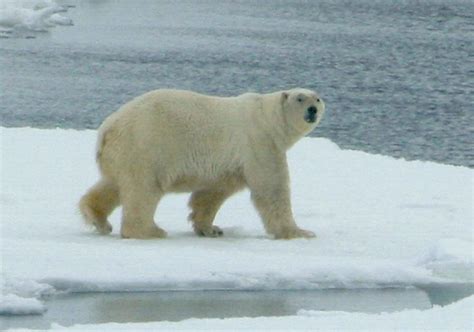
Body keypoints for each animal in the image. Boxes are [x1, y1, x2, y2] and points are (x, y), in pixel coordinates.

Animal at [80, 88, 326, 239]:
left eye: (317, 98)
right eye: (300, 98)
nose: (312, 110)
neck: (268, 117)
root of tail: (108, 127)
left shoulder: (229, 162)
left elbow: (213, 191)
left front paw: (211, 228)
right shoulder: (259, 142)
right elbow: (271, 189)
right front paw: (300, 232)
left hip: (122, 153)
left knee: (112, 184)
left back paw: (98, 219)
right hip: (146, 147)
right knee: (143, 189)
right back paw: (150, 230)